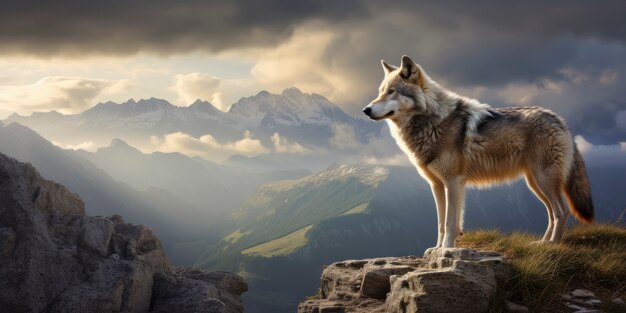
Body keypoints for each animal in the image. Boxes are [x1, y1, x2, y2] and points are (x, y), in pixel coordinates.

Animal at [360, 54, 588, 249]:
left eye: (392, 91)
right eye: (380, 92)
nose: (365, 110)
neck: (432, 122)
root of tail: (560, 121)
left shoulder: (453, 182)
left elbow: (450, 222)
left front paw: (446, 249)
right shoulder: (437, 185)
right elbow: (441, 223)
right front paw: (436, 249)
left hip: (543, 180)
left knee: (561, 211)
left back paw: (554, 245)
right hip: (535, 184)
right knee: (551, 213)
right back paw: (542, 243)